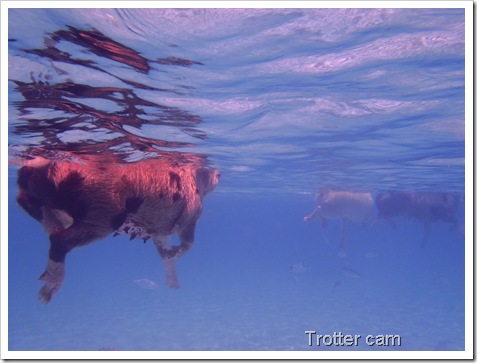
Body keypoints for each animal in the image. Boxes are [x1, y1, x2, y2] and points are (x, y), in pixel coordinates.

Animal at [15, 154, 220, 304]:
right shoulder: (192, 213)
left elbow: (163, 248)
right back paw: (46, 294)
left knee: (25, 201)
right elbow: (189, 242)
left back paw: (53, 223)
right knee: (59, 240)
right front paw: (173, 255)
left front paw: (172, 278)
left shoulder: (159, 230)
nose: (219, 174)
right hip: (104, 215)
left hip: (41, 189)